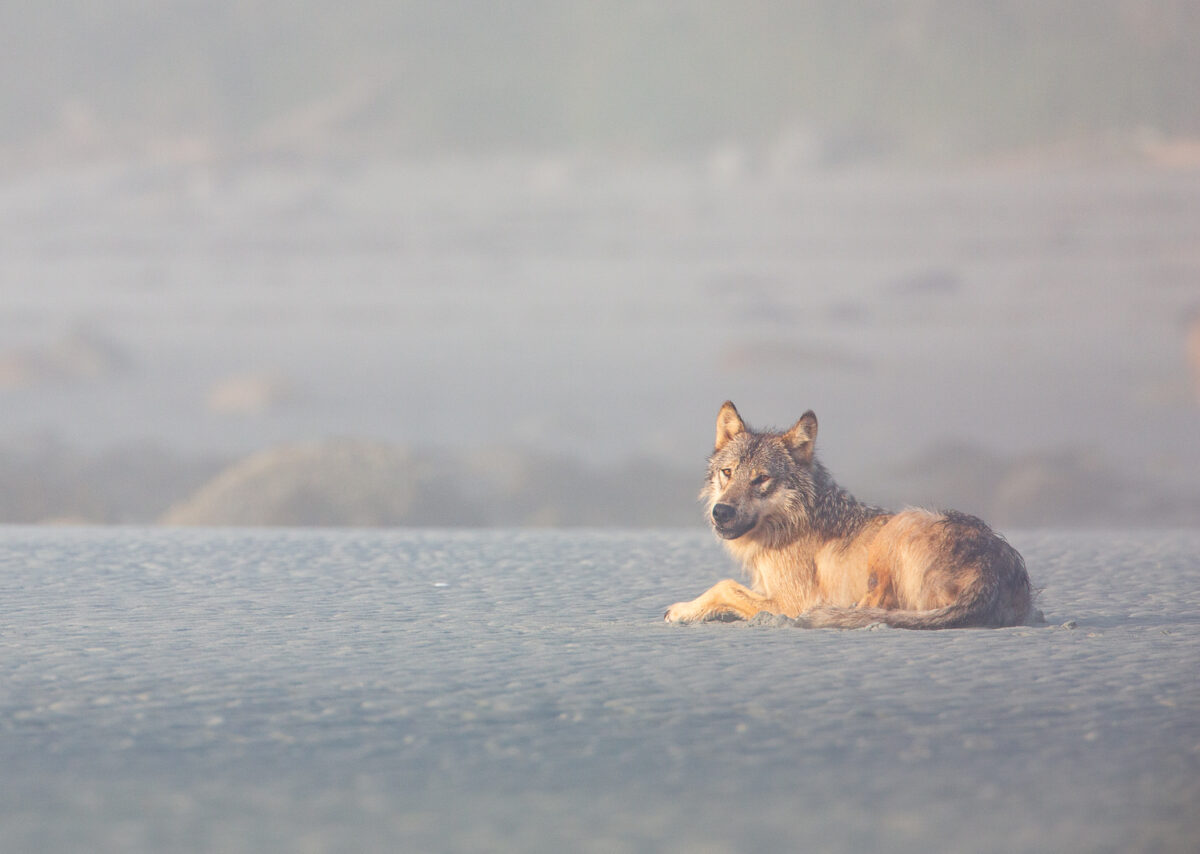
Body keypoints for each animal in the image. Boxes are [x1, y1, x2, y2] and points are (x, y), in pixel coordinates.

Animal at [664, 402, 1036, 629]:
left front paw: (680, 610)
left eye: (761, 479)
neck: (788, 526)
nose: (721, 512)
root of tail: (995, 566)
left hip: (901, 524)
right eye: (727, 473)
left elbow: (723, 586)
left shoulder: (790, 601)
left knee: (877, 605)